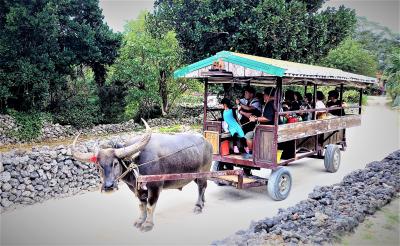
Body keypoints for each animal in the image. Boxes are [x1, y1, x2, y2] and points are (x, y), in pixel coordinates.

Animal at [70, 120, 214, 232]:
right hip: (195, 175)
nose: (108, 186)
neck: (136, 162)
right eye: (98, 166)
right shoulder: (136, 189)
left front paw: (148, 224)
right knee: (203, 187)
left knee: (201, 187)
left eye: (115, 163)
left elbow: (150, 206)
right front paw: (140, 221)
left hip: (203, 172)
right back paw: (203, 202)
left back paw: (198, 206)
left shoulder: (155, 187)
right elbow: (141, 206)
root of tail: (207, 142)